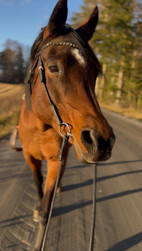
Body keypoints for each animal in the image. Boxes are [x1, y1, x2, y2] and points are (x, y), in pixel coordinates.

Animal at [17, 0, 115, 227]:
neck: (39, 127)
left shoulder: (56, 159)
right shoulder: (30, 158)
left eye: (96, 72)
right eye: (53, 67)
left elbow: (46, 208)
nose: (102, 141)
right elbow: (38, 184)